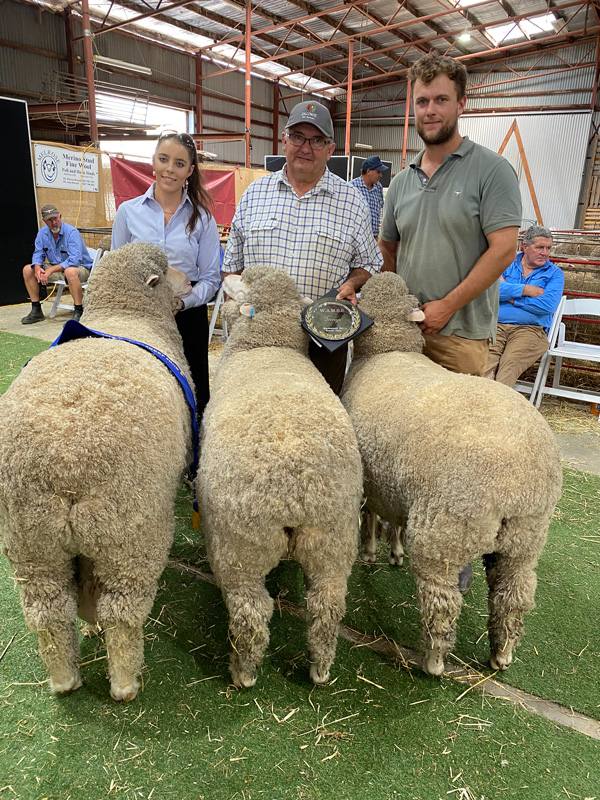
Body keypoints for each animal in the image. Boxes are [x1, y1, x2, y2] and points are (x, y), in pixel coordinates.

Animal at [0, 244, 192, 700]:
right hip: (130, 534)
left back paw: (64, 678)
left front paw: (88, 628)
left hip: (32, 541)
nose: (193, 282)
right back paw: (124, 683)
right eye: (166, 271)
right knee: (122, 610)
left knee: (49, 612)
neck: (126, 314)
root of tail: (67, 465)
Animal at [199, 268, 364, 688]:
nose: (226, 273)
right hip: (333, 541)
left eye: (245, 279)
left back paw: (243, 673)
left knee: (252, 612)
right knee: (326, 606)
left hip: (240, 548)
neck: (269, 345)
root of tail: (296, 493)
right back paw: (320, 669)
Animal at [342, 274, 564, 676]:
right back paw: (502, 654)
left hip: (444, 532)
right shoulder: (395, 483)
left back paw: (433, 660)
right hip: (526, 538)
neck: (388, 351)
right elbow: (394, 519)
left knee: (441, 602)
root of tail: (515, 484)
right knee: (513, 595)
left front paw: (370, 551)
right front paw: (394, 550)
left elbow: (372, 515)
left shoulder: (373, 480)